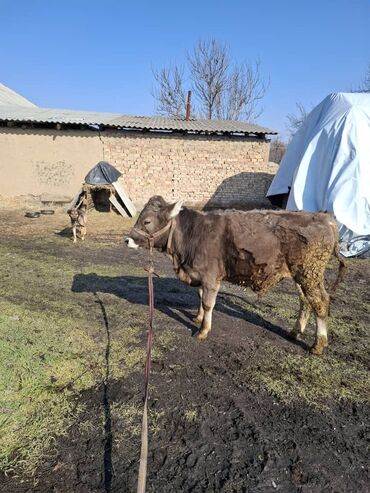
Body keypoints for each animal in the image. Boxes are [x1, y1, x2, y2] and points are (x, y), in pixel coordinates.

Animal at [125, 196, 346, 354]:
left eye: (147, 221)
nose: (127, 240)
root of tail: (325, 217)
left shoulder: (211, 277)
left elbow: (208, 303)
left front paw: (203, 330)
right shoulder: (201, 276)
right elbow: (199, 296)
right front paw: (197, 317)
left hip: (310, 273)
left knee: (320, 302)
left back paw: (318, 344)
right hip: (301, 275)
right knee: (305, 301)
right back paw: (295, 332)